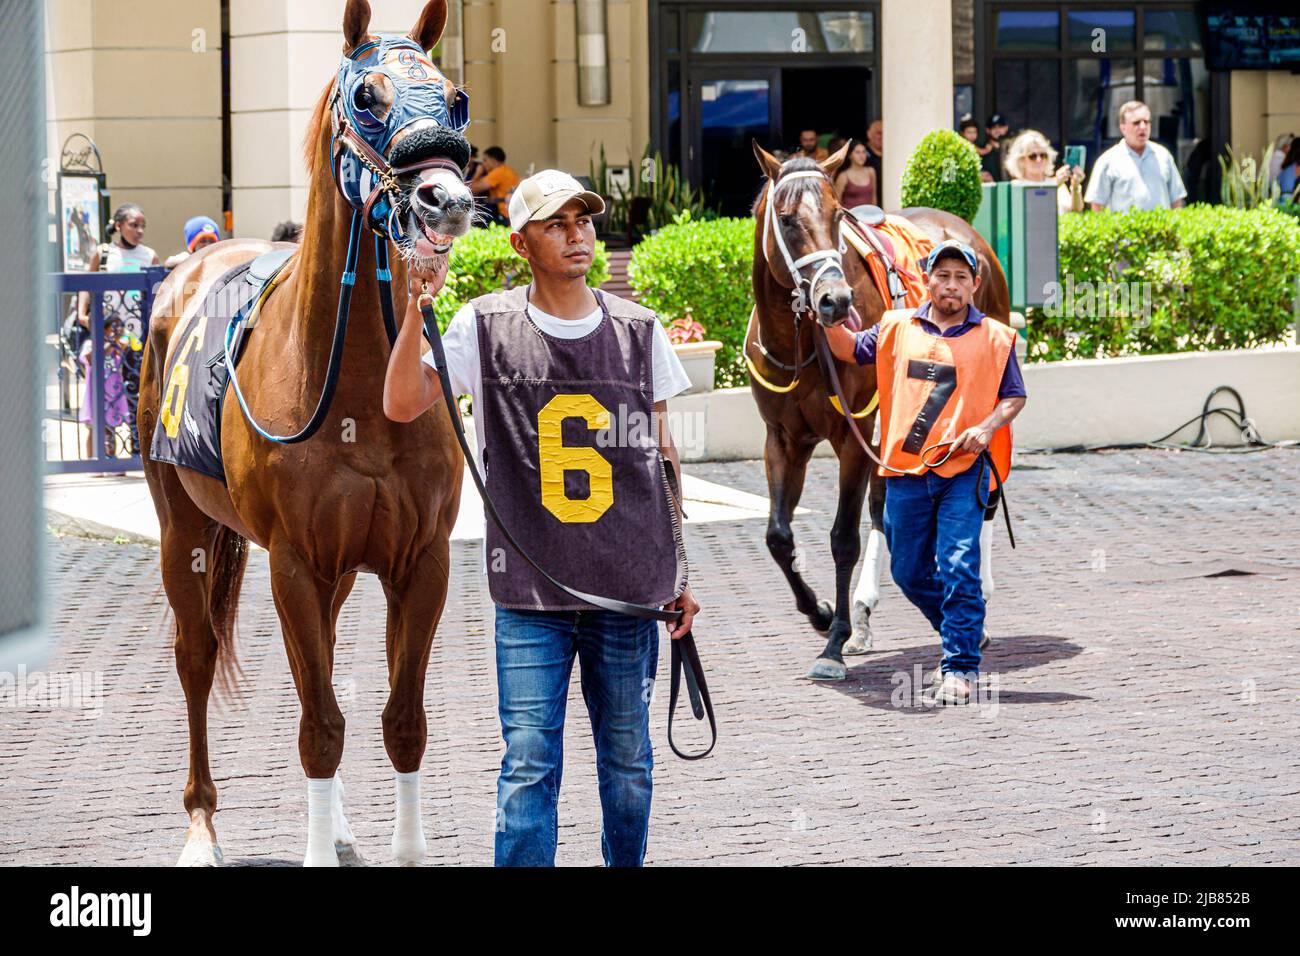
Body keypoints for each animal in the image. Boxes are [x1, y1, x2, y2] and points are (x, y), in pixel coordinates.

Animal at [139, 0, 475, 868]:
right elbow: (319, 723)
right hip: (183, 531)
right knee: (195, 659)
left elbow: (401, 721)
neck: (360, 390)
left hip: (339, 568)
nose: (446, 200)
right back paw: (201, 829)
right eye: (367, 96)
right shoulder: (292, 561)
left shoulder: (418, 560)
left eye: (455, 99)